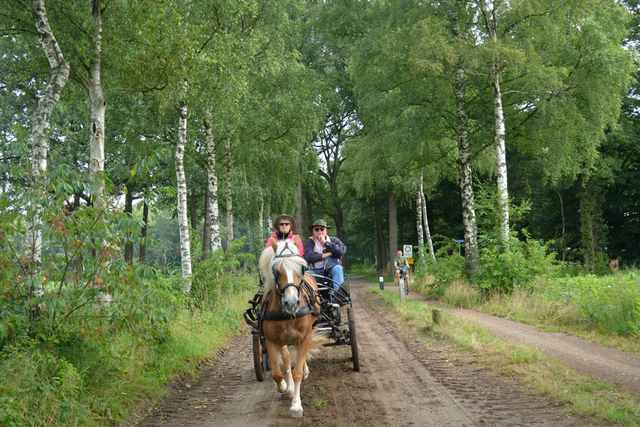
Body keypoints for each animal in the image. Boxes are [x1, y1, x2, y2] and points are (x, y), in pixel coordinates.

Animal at [258, 236, 324, 420]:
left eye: (301, 267)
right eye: (276, 270)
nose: (292, 302)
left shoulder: (305, 338)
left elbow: (297, 372)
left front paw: (296, 406)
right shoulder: (272, 341)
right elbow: (277, 372)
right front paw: (283, 387)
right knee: (287, 358)